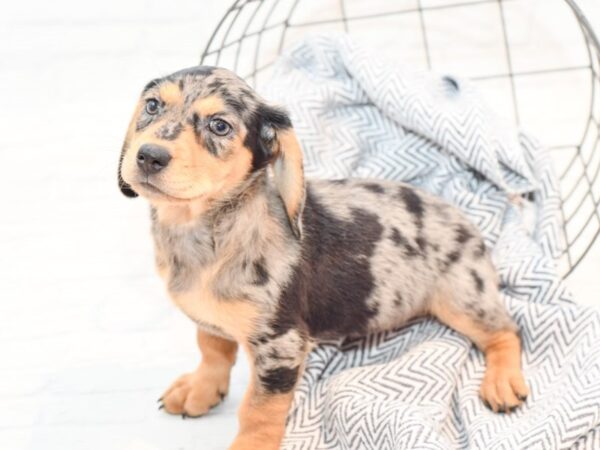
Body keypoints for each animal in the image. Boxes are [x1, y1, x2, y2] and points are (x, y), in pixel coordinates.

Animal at [118, 65, 528, 448]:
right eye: (152, 106)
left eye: (219, 126)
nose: (149, 156)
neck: (207, 232)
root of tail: (466, 222)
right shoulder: (212, 321)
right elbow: (213, 351)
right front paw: (202, 388)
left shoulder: (280, 346)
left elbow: (258, 410)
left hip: (463, 299)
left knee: (506, 332)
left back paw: (503, 379)